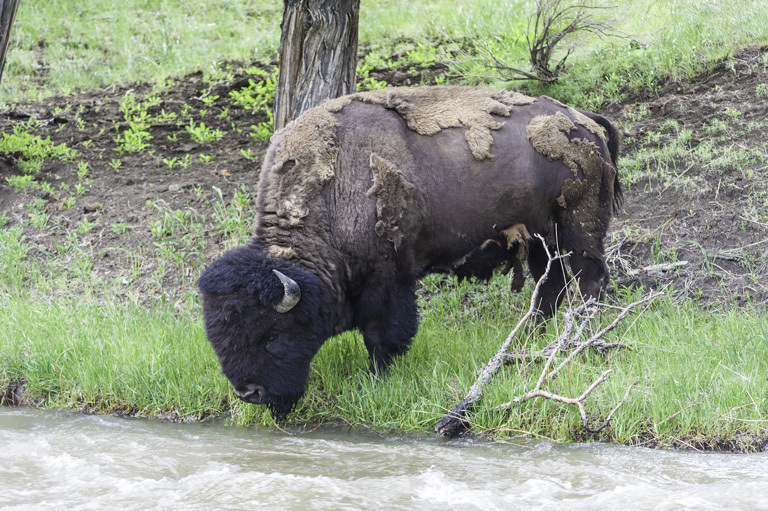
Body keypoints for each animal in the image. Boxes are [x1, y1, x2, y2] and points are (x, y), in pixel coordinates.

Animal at [196, 85, 616, 420]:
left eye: (271, 335)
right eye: (216, 335)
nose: (249, 393)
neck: (331, 189)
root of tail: (586, 120)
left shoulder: (388, 279)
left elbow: (383, 335)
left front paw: (374, 379)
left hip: (577, 231)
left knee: (589, 281)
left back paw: (582, 340)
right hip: (543, 241)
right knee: (550, 288)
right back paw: (530, 338)